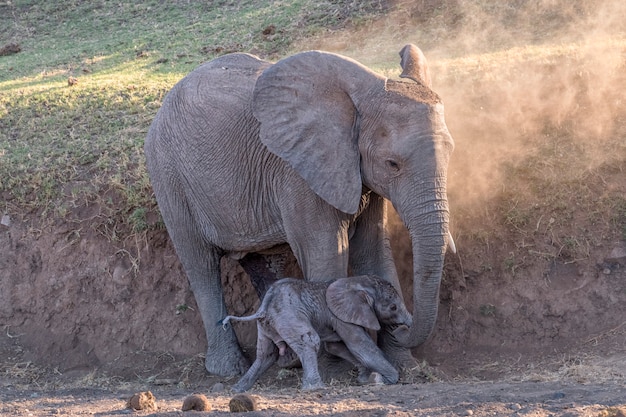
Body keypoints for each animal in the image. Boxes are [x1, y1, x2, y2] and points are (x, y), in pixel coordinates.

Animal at [144, 44, 456, 376]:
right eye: (392, 164)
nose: (404, 325)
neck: (356, 102)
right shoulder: (298, 173)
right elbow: (327, 253)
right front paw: (338, 368)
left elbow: (374, 253)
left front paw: (404, 367)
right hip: (169, 176)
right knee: (201, 265)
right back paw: (230, 369)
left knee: (263, 264)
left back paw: (287, 359)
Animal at [219, 274, 410, 392]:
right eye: (393, 307)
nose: (404, 327)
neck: (357, 281)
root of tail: (266, 302)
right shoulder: (340, 316)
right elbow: (359, 345)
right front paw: (383, 380)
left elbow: (336, 347)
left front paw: (365, 378)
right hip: (289, 315)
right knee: (310, 341)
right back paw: (316, 387)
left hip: (267, 324)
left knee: (266, 354)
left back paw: (237, 389)